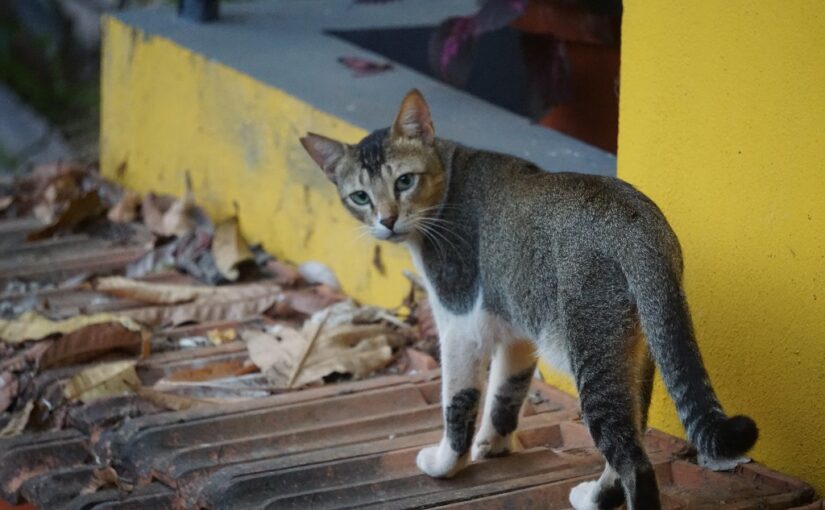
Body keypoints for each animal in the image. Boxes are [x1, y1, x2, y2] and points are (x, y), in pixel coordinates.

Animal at [300, 89, 756, 508]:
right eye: (360, 197)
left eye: (404, 181)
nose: (387, 221)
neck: (450, 174)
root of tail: (639, 224)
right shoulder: (517, 326)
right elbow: (506, 392)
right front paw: (493, 446)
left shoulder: (459, 322)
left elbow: (458, 402)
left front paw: (447, 463)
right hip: (636, 352)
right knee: (632, 439)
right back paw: (592, 497)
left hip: (594, 352)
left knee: (634, 462)